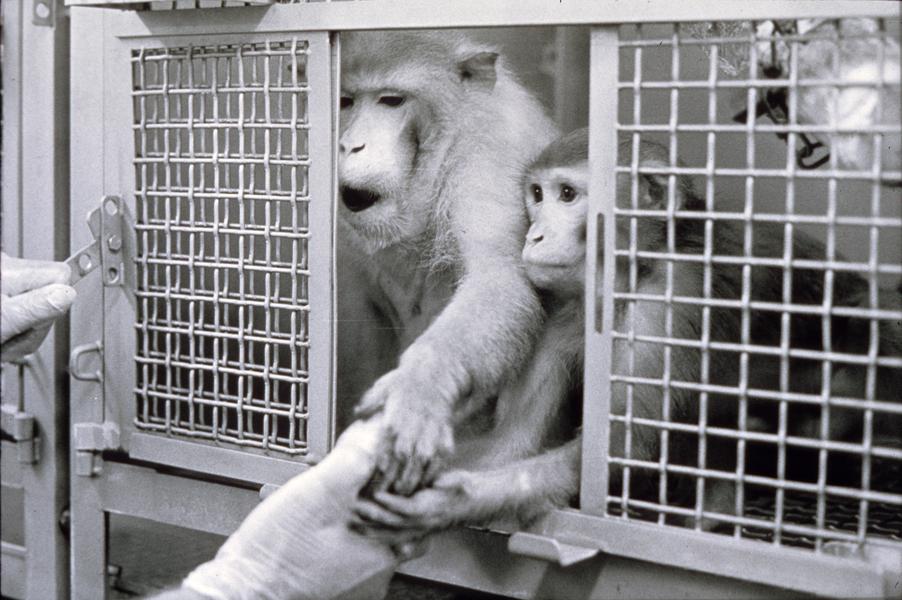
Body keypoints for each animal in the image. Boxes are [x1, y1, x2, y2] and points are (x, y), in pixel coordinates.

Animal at [334, 31, 560, 495]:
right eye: (345, 101)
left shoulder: (488, 156)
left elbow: (500, 280)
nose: (349, 144)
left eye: (390, 100)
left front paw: (421, 386)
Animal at [351, 129, 902, 537]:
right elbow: (515, 442)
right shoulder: (567, 313)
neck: (637, 271)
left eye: (567, 195)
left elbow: (623, 449)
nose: (534, 234)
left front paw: (456, 502)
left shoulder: (668, 308)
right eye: (537, 195)